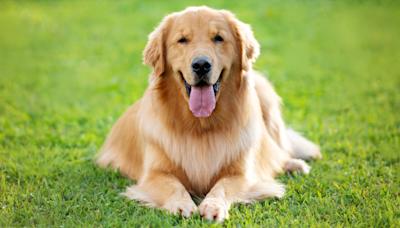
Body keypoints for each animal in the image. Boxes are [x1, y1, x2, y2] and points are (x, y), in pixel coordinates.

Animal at [97, 5, 322, 223]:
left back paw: (294, 165)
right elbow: (173, 185)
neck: (201, 126)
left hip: (264, 91)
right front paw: (181, 204)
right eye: (182, 40)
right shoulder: (154, 174)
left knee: (281, 150)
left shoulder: (242, 174)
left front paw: (214, 206)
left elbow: (223, 186)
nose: (201, 65)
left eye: (218, 38)